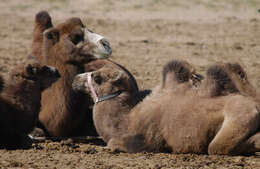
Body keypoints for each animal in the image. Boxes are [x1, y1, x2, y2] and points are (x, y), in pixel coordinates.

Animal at [72, 61, 260, 155]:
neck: (126, 120)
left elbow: (113, 142)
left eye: (97, 78)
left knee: (216, 147)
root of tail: (256, 106)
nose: (75, 79)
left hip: (237, 120)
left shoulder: (149, 138)